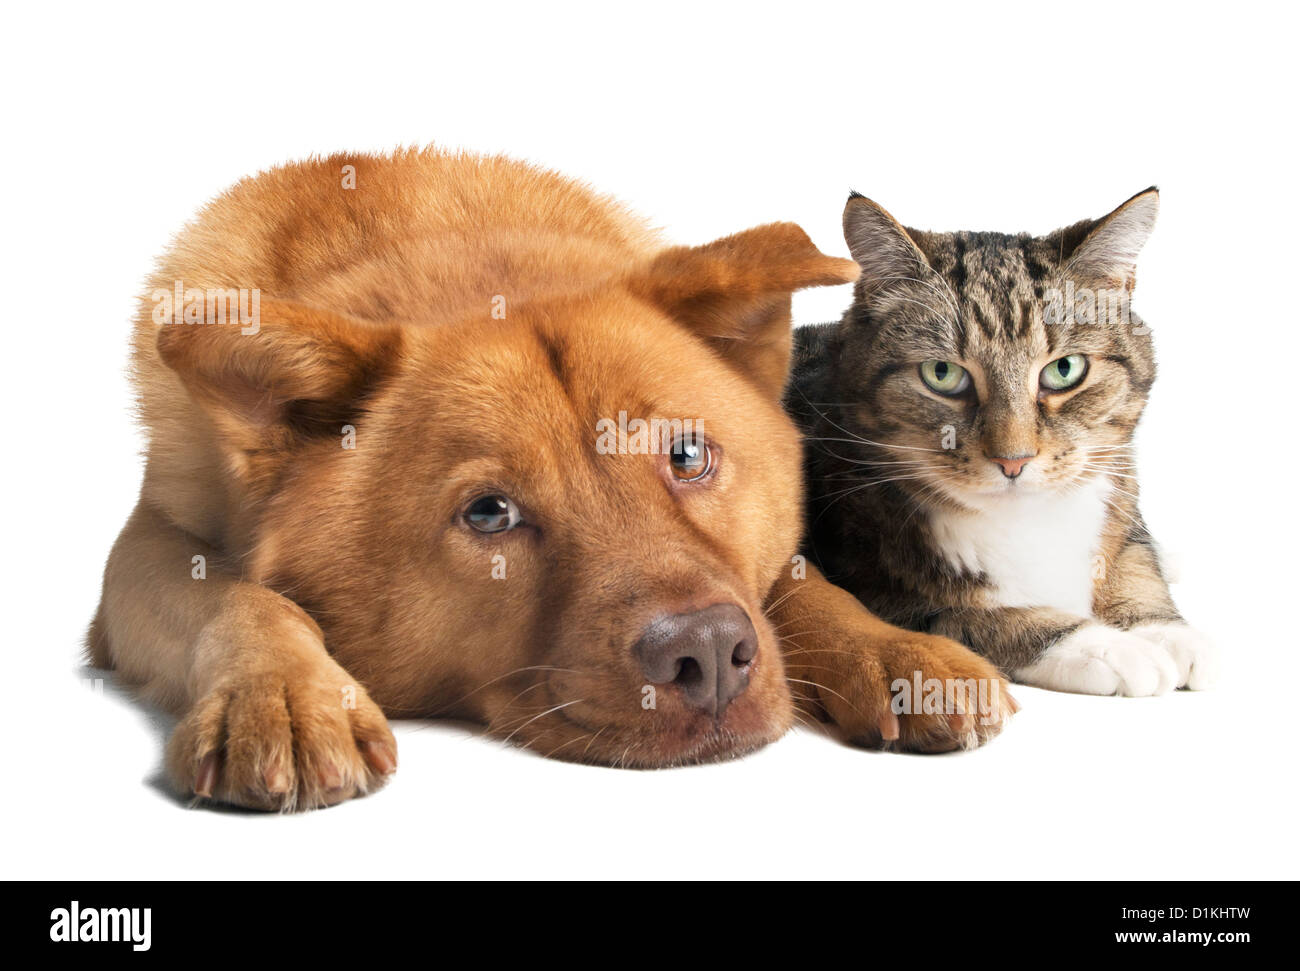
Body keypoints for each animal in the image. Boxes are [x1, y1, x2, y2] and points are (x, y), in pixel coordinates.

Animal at [91, 146, 1013, 811]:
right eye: (489, 513)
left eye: (688, 456)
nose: (710, 653)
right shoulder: (146, 546)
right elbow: (235, 596)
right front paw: (284, 693)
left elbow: (797, 578)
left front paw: (889, 648)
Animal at [780, 185, 1216, 696]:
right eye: (942, 373)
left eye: (1064, 370)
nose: (1014, 460)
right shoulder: (872, 584)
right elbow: (971, 618)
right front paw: (1104, 645)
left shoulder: (1118, 481)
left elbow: (1133, 557)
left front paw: (1162, 627)